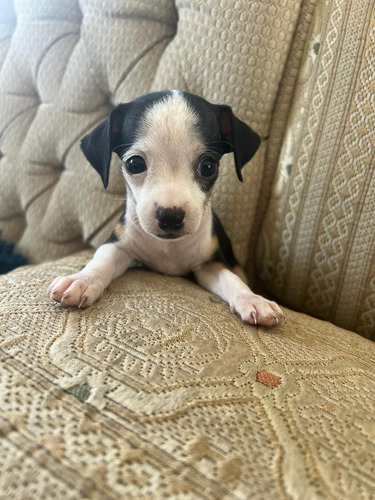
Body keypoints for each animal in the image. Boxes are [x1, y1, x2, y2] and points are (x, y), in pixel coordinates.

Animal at [49, 91, 284, 326]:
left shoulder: (210, 264)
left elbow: (231, 279)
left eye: (208, 166)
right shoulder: (119, 245)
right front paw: (82, 280)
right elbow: (102, 260)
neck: (169, 248)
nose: (170, 216)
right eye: (134, 164)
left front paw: (252, 298)